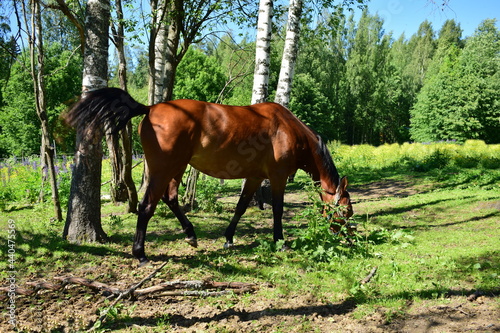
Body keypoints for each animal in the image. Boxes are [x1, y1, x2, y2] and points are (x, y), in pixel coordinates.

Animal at [66, 87, 354, 264]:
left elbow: (240, 207)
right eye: (345, 210)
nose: (348, 239)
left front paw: (228, 238)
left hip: (177, 167)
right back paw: (141, 253)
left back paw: (190, 234)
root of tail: (150, 108)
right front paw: (280, 241)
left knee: (171, 198)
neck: (287, 128)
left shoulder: (254, 177)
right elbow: (277, 209)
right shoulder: (277, 177)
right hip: (163, 168)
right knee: (147, 206)